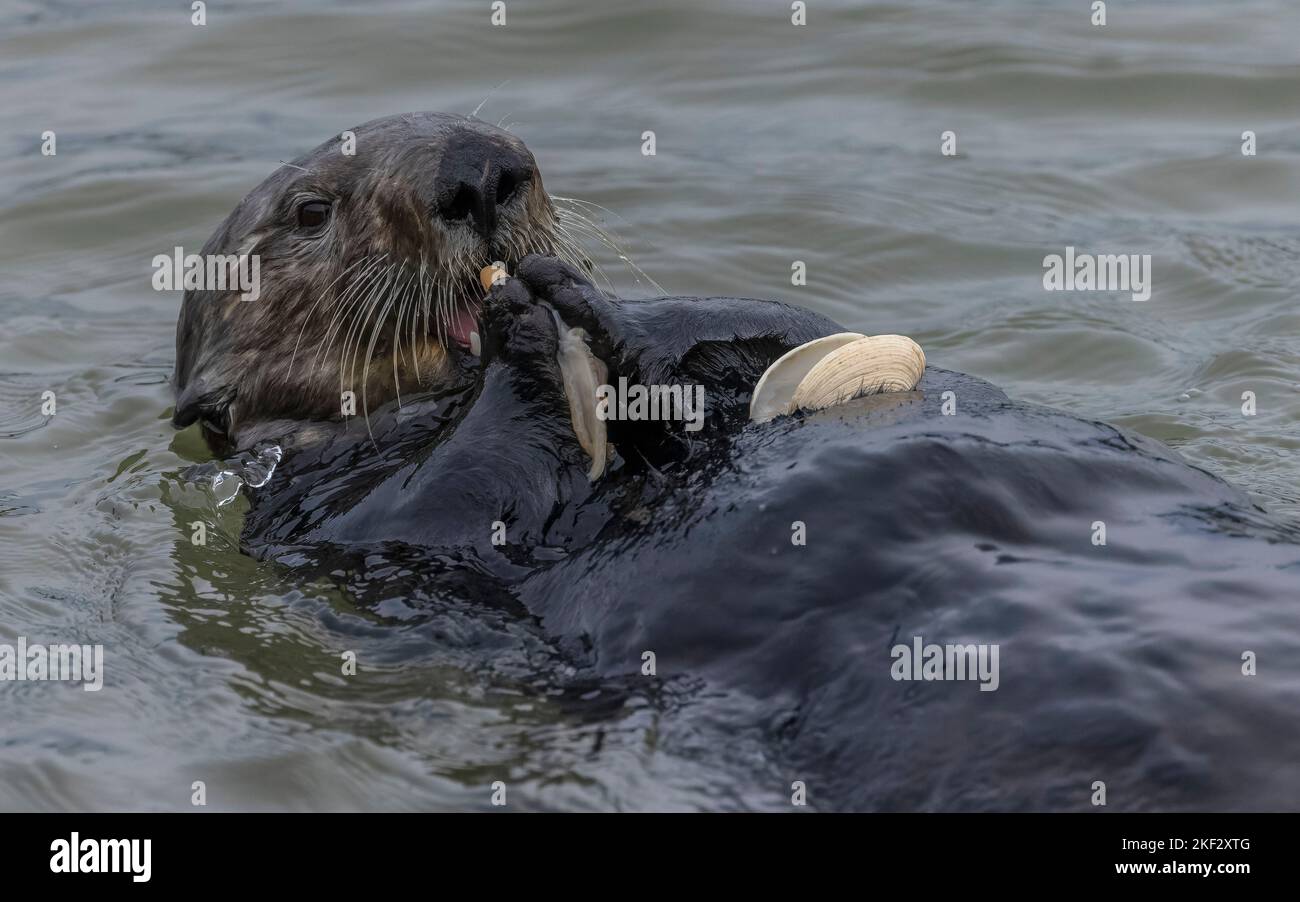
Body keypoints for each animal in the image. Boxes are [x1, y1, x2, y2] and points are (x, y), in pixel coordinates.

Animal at [173, 113, 1300, 811]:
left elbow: (762, 322)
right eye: (311, 211)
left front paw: (604, 314)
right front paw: (526, 330)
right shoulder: (335, 519)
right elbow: (453, 497)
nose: (479, 169)